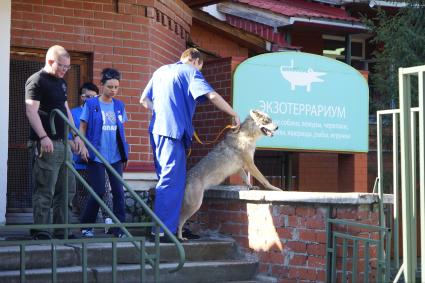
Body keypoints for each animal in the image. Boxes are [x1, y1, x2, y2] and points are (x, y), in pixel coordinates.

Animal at [176, 110, 282, 241]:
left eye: (270, 120)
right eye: (266, 121)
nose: (277, 127)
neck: (247, 136)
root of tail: (186, 178)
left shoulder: (240, 168)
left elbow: (246, 179)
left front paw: (251, 186)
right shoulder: (250, 164)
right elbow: (264, 180)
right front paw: (276, 189)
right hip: (194, 205)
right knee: (180, 221)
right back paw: (180, 237)